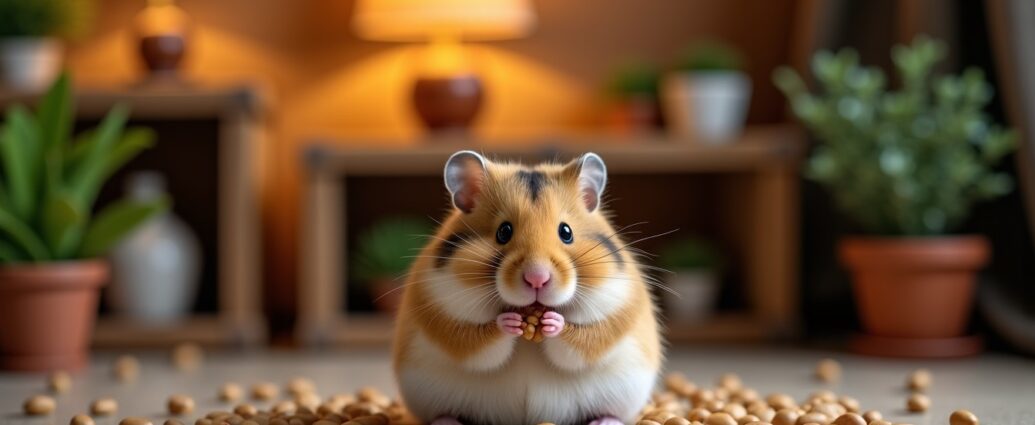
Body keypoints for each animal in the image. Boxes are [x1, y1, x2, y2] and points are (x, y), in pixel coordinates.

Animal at [393, 151, 662, 425]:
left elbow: (581, 339)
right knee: (442, 414)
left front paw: (553, 321)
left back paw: (604, 421)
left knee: (612, 413)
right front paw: (509, 321)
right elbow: (480, 341)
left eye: (566, 232)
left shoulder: (611, 319)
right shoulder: (446, 320)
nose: (537, 279)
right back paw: (447, 421)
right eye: (503, 231)